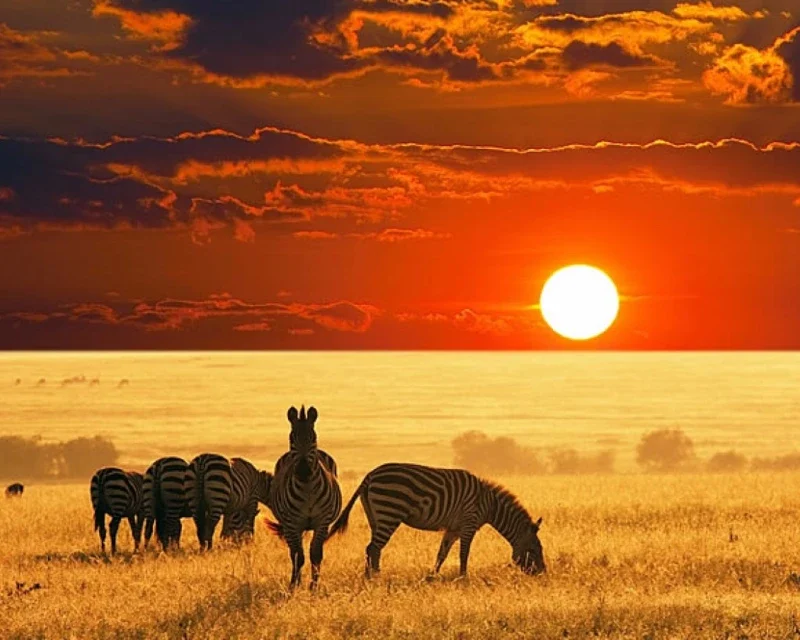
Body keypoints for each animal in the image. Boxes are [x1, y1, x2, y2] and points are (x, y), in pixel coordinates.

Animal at [270, 404, 342, 592]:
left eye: (313, 438)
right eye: (292, 438)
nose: (303, 471)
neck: (308, 489)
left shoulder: (322, 522)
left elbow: (315, 554)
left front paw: (313, 587)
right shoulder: (292, 523)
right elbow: (298, 556)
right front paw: (294, 586)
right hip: (290, 525)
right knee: (294, 553)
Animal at [328, 462, 548, 576]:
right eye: (534, 550)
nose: (543, 574)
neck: (490, 505)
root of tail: (370, 475)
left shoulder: (453, 528)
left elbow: (442, 553)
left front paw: (432, 577)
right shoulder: (468, 523)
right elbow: (464, 554)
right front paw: (463, 578)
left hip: (375, 516)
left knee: (373, 549)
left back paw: (372, 576)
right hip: (389, 511)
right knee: (373, 548)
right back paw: (374, 578)